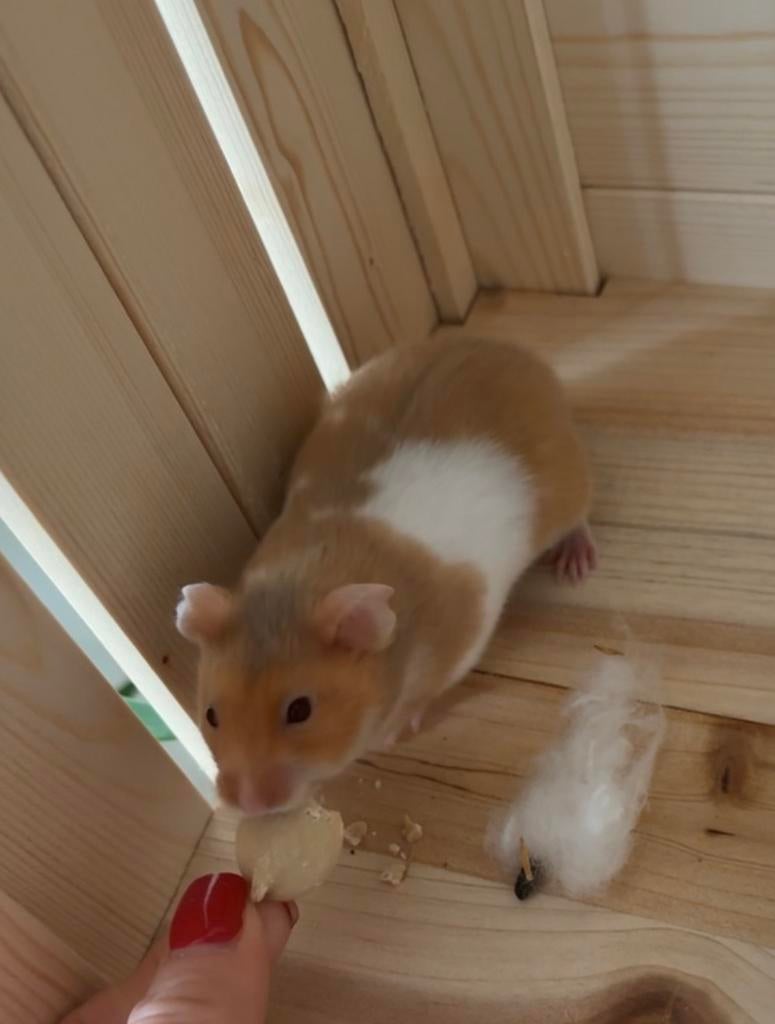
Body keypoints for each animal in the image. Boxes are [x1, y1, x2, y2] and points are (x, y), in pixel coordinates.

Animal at [176, 337, 596, 815]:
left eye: (300, 710)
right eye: (210, 715)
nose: (248, 805)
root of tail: (515, 352)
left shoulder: (462, 642)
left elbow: (426, 696)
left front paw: (391, 736)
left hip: (571, 481)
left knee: (581, 517)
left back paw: (576, 563)